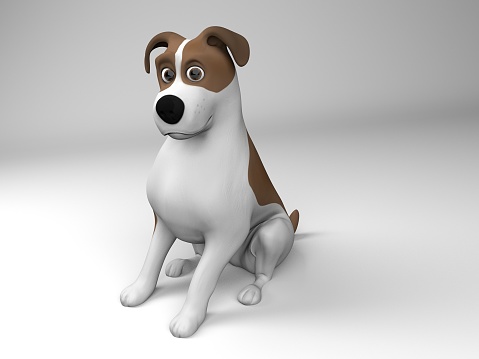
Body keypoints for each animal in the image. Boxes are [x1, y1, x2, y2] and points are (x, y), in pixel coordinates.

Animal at [120, 26, 298, 338]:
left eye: (195, 73)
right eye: (166, 74)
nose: (167, 106)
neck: (190, 153)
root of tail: (237, 263)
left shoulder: (225, 235)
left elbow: (202, 280)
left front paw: (188, 319)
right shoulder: (163, 222)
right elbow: (151, 261)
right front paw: (139, 291)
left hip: (271, 233)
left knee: (264, 273)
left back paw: (252, 290)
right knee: (199, 256)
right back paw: (183, 263)